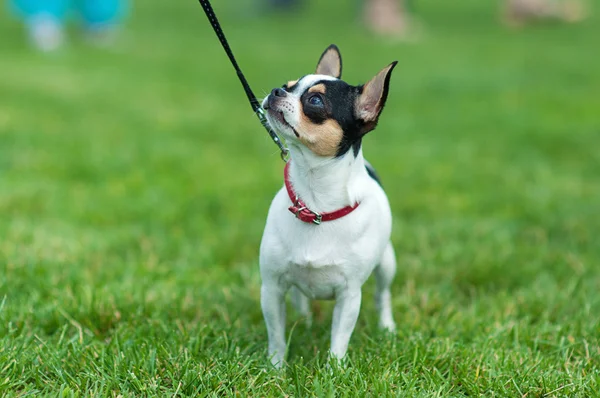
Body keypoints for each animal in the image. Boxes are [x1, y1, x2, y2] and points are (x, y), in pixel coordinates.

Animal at [258, 45, 396, 368]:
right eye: (287, 85)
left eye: (315, 101)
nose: (276, 90)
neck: (316, 206)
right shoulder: (271, 288)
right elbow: (276, 335)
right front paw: (276, 368)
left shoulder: (349, 296)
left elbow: (339, 340)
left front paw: (334, 370)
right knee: (300, 298)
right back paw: (304, 320)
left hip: (387, 263)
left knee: (383, 295)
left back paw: (387, 327)